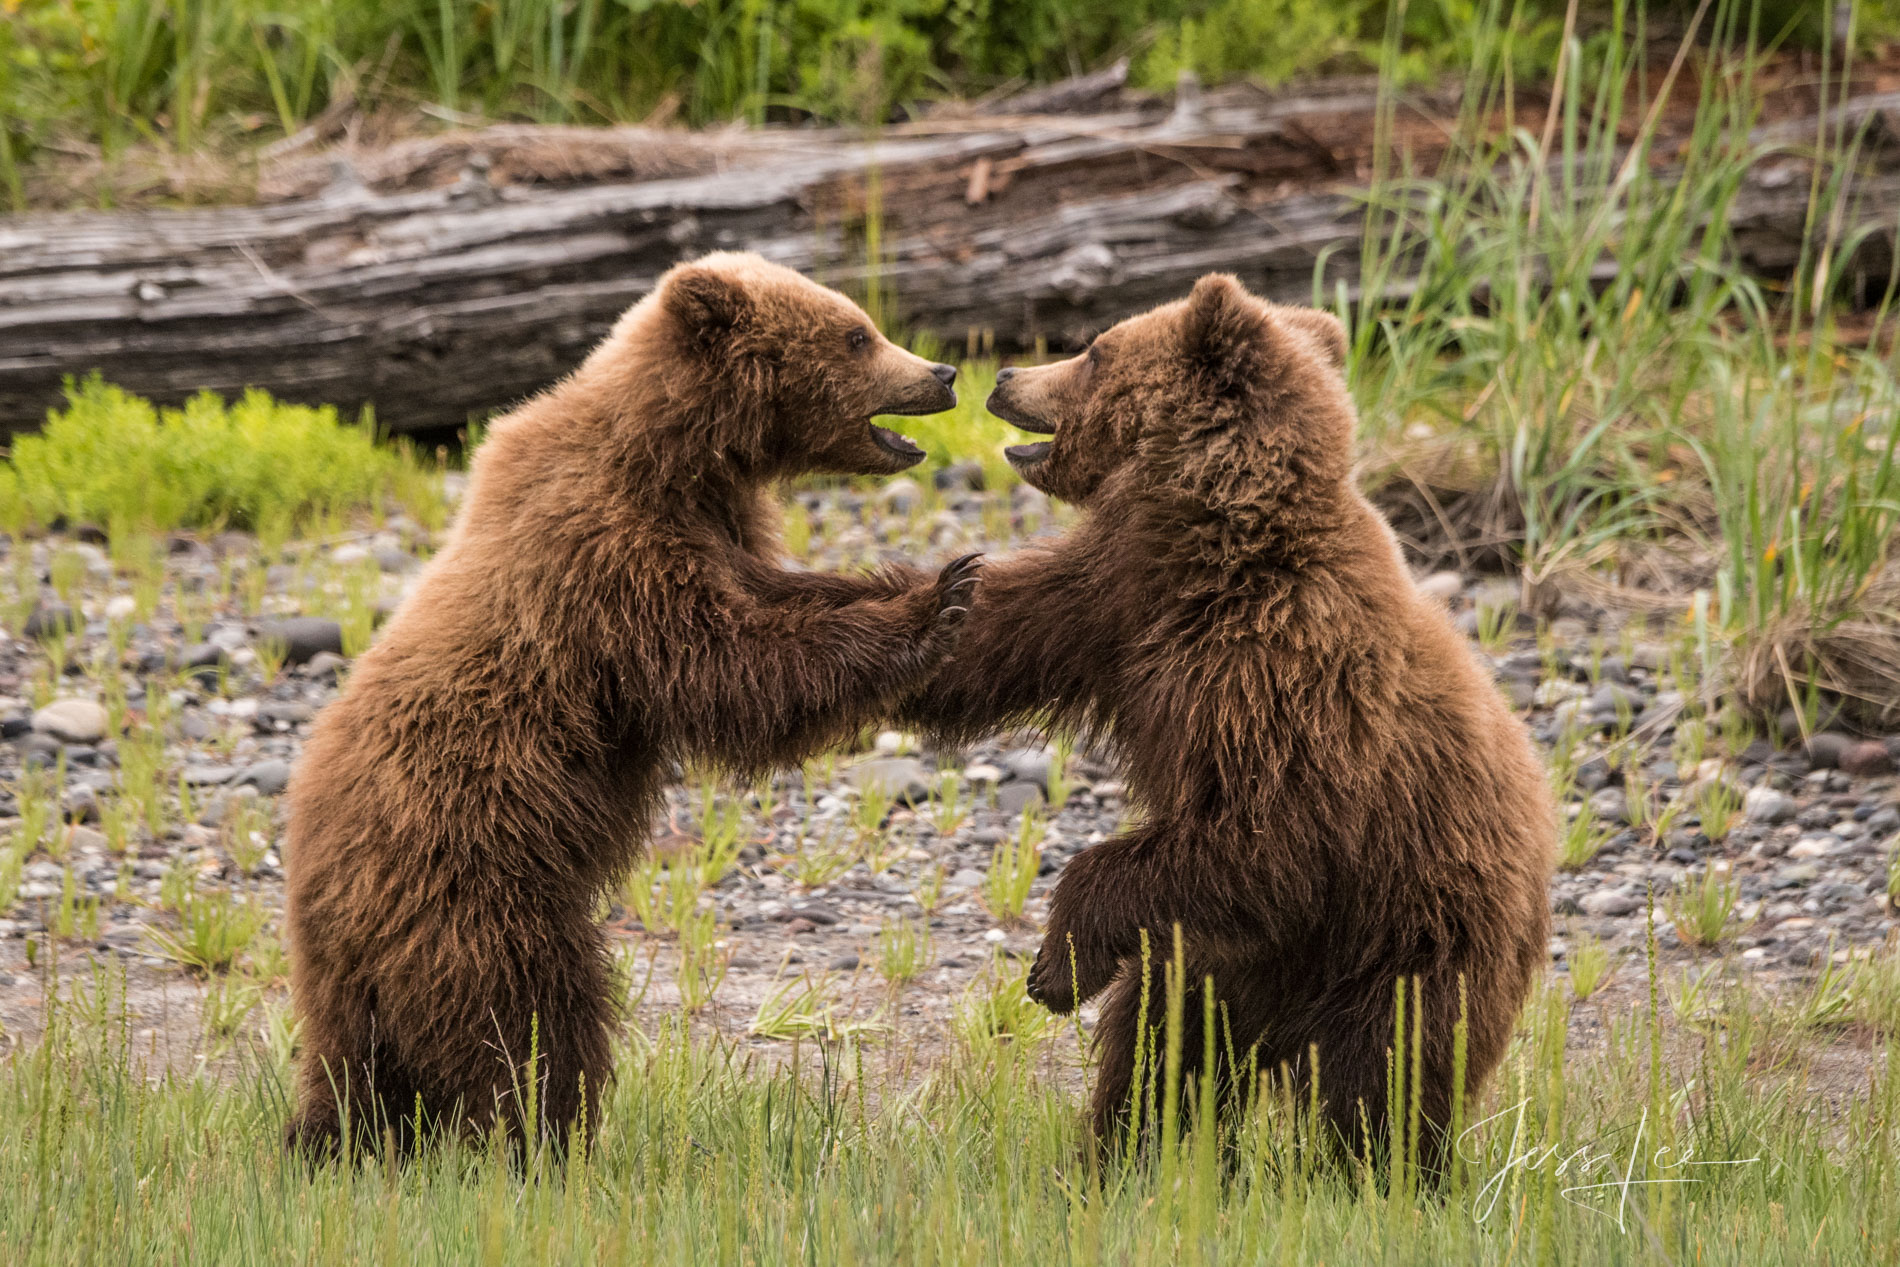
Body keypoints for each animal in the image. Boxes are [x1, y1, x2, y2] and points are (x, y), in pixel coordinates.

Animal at [288, 250, 988, 1162]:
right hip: (475, 879)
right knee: (530, 1019)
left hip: (366, 961)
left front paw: (918, 577)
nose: (942, 372)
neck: (675, 457)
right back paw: (542, 1139)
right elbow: (735, 665)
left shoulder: (719, 530)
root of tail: (315, 880)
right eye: (856, 334)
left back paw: (334, 1141)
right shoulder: (608, 559)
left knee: (353, 1068)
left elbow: (786, 598)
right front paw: (939, 601)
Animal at [896, 275, 1550, 1162]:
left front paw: (1054, 963)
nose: (1001, 374)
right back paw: (1125, 1153)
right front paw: (923, 616)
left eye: (1095, 349)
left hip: (1415, 942)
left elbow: (1262, 841)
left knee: (1384, 1076)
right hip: (1225, 969)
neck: (1217, 548)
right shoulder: (1116, 602)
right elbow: (998, 638)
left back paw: (1374, 1169)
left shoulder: (1284, 685)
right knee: (1164, 1048)